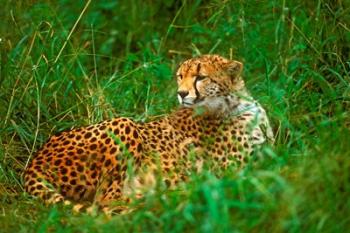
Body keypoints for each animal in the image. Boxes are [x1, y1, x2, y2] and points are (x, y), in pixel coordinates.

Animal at [23, 54, 274, 211]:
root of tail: (35, 159)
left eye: (201, 77)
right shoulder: (234, 170)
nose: (181, 93)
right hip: (124, 124)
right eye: (180, 76)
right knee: (107, 202)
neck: (234, 104)